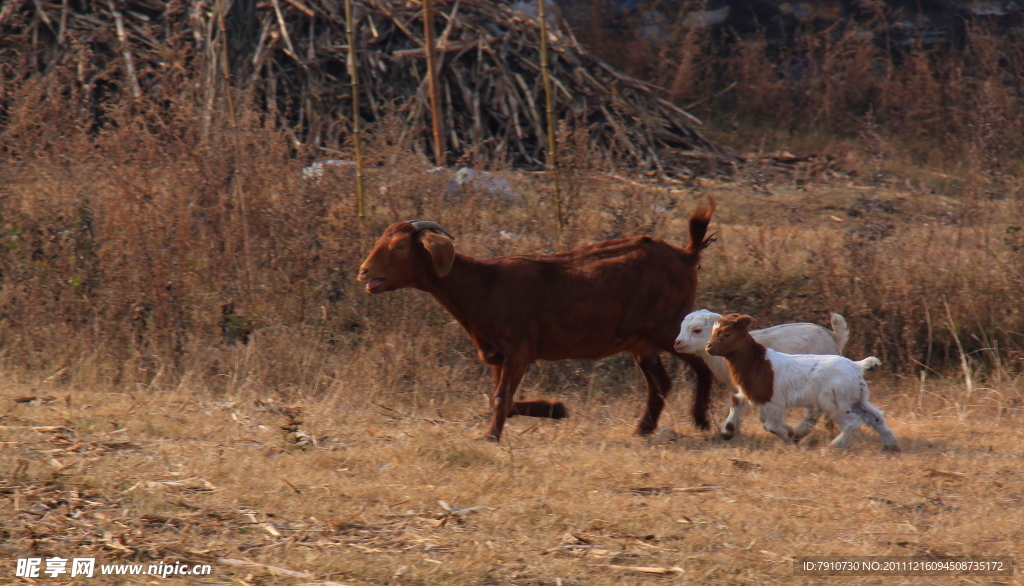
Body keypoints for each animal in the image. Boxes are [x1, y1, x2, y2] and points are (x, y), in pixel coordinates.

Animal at [360, 197, 720, 438]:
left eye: (401, 246)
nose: (364, 271)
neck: (483, 285)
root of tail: (686, 255)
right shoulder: (498, 355)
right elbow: (501, 399)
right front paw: (556, 409)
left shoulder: (518, 349)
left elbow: (500, 398)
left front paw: (490, 437)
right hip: (641, 343)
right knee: (661, 382)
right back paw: (643, 429)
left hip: (669, 328)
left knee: (701, 365)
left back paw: (701, 420)